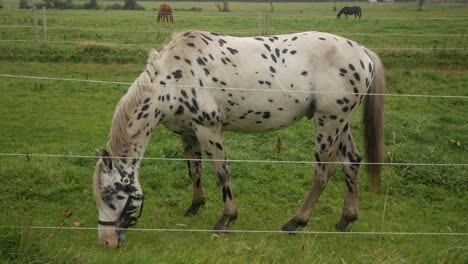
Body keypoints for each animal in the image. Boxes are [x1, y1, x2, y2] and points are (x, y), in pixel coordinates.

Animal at [93, 30, 386, 248]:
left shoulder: (208, 129)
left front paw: (226, 219)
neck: (173, 78)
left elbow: (221, 173)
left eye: (111, 195)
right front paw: (195, 206)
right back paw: (346, 219)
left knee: (324, 171)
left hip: (329, 122)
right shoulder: (189, 133)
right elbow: (195, 170)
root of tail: (363, 52)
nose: (107, 241)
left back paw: (295, 222)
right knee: (351, 162)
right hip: (340, 123)